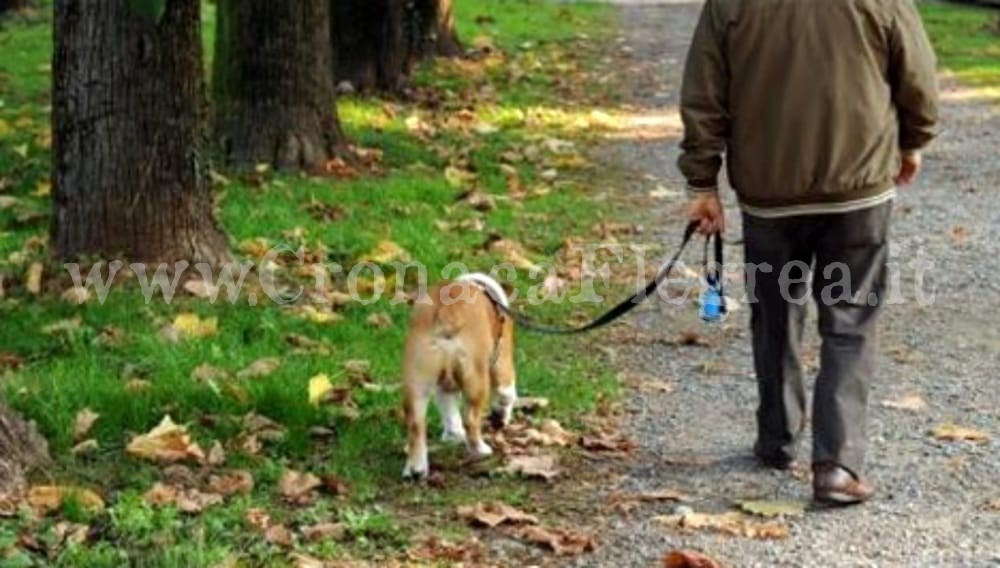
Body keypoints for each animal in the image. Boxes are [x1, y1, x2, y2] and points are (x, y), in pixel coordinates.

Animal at [402, 272, 520, 478]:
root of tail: (447, 311)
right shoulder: (502, 361)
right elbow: (506, 394)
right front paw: (500, 416)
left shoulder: (444, 386)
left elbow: (449, 410)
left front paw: (452, 435)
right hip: (476, 378)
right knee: (471, 419)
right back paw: (480, 450)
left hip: (417, 377)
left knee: (416, 423)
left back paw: (416, 468)